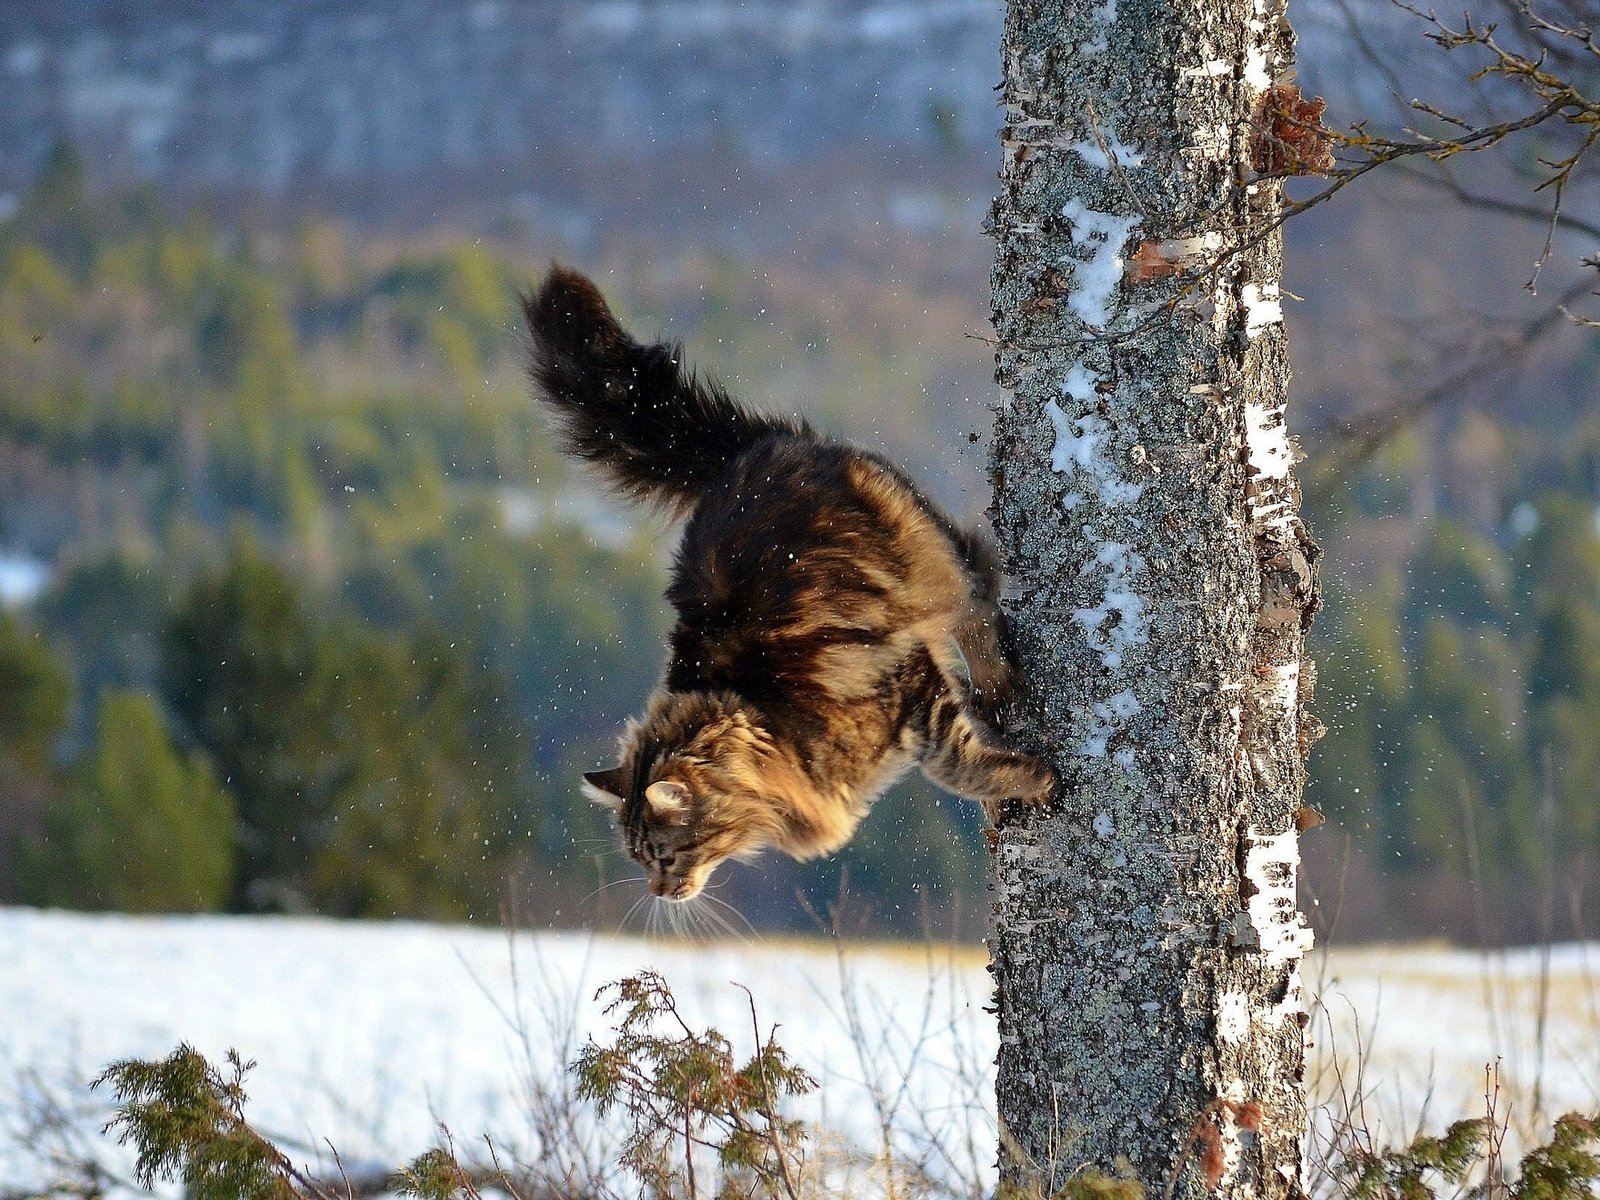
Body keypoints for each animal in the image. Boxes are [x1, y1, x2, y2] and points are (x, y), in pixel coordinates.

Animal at [518, 265, 1056, 902]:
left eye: (666, 854)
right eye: (637, 858)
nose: (660, 893)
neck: (767, 719)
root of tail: (755, 448)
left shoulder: (906, 684)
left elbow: (958, 766)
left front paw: (1036, 781)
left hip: (926, 557)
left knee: (977, 598)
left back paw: (998, 687)